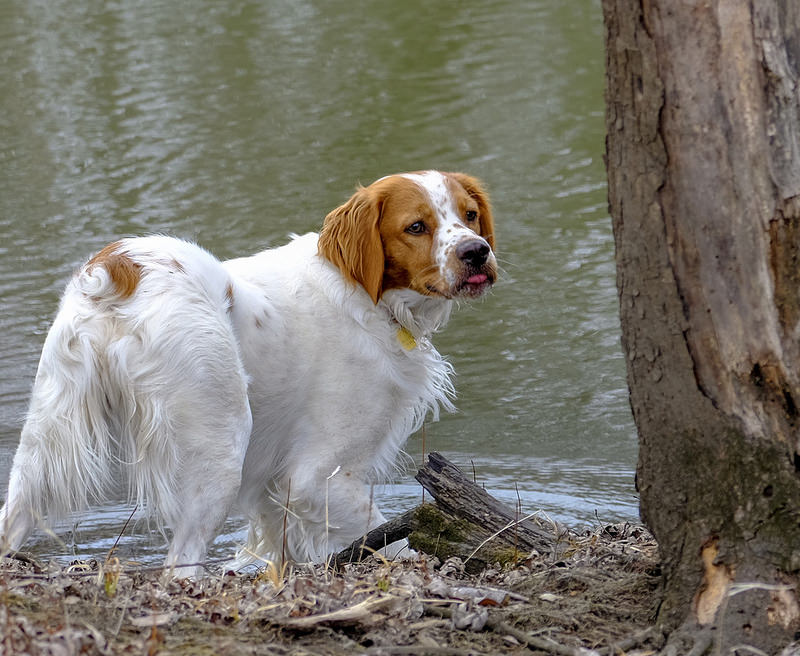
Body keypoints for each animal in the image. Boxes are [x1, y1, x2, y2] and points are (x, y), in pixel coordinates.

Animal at [0, 169, 496, 576]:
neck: (366, 297)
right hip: (221, 447)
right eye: (416, 226)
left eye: (470, 215)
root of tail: (118, 269)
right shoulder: (316, 478)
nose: (477, 252)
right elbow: (389, 539)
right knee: (179, 565)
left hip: (43, 442)